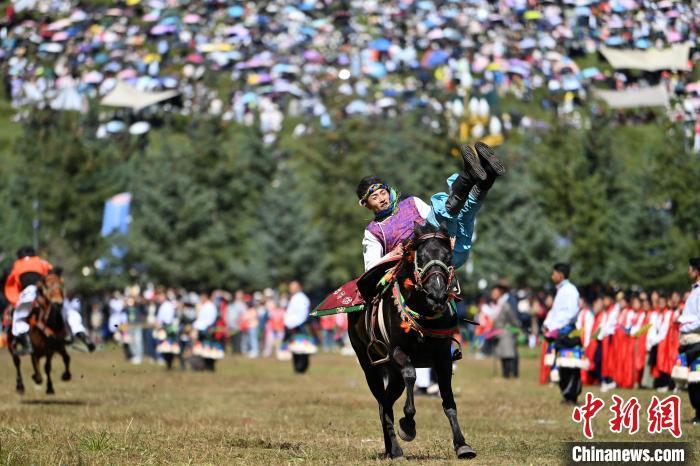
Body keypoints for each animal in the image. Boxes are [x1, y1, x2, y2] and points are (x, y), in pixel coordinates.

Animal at [348, 222, 476, 460]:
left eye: (448, 256)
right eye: (421, 257)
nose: (437, 295)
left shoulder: (443, 358)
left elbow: (449, 401)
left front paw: (462, 445)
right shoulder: (398, 352)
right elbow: (410, 375)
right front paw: (408, 425)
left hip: (393, 374)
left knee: (385, 404)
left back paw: (390, 449)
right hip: (370, 367)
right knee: (383, 402)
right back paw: (396, 449)